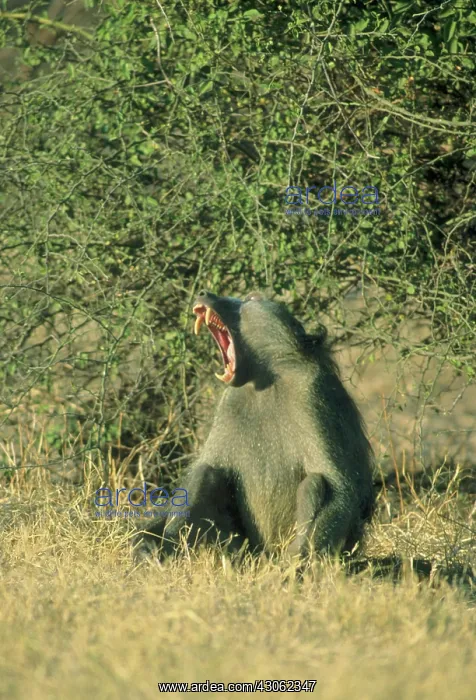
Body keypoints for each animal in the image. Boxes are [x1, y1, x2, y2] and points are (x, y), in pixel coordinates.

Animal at [140, 290, 375, 560]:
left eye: (252, 298)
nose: (204, 293)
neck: (267, 379)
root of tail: (264, 552)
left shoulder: (312, 392)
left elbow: (341, 487)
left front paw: (301, 560)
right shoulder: (229, 402)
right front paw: (149, 543)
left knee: (314, 483)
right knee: (205, 473)